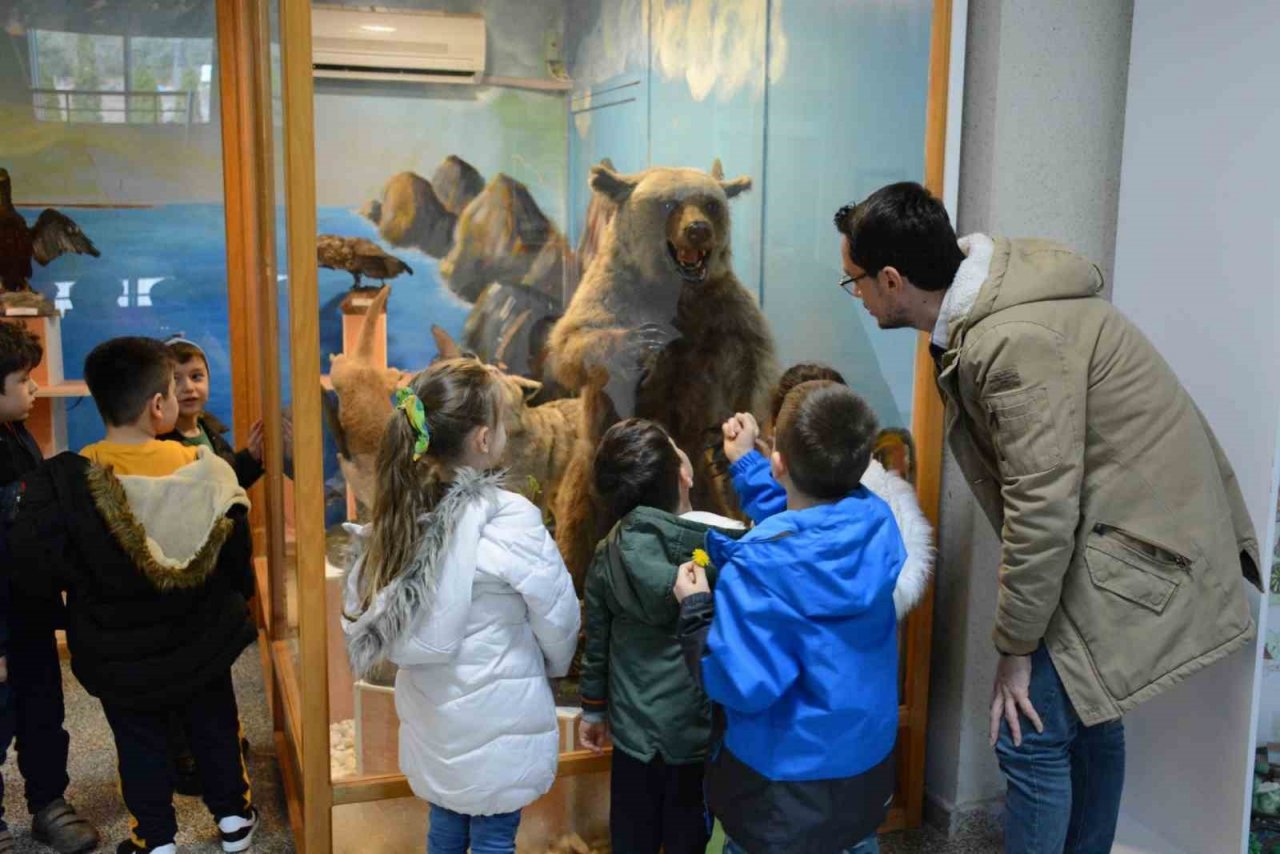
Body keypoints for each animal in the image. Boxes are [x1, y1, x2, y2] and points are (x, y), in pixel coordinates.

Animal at [547, 160, 773, 583]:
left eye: (710, 203)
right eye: (669, 203)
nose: (698, 228)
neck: (674, 291)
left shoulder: (724, 307)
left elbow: (754, 360)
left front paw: (736, 434)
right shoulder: (610, 293)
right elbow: (572, 345)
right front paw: (642, 347)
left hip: (700, 481)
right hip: (586, 485)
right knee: (575, 538)